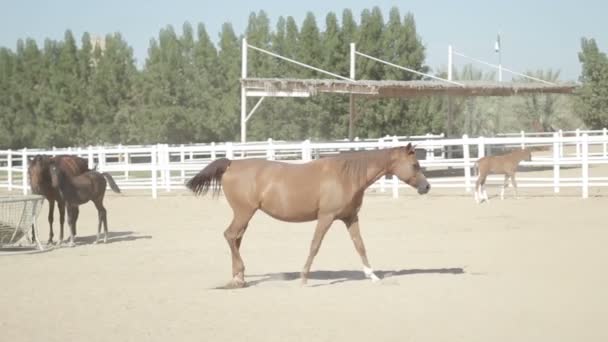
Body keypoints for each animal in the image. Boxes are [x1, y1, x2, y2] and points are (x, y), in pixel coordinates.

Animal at [188, 142, 430, 288]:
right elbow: (315, 245)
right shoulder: (326, 217)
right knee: (230, 236)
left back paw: (238, 278)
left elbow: (360, 245)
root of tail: (232, 164)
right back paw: (239, 276)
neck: (346, 176)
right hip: (244, 212)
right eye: (414, 164)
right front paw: (304, 278)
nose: (426, 187)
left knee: (236, 239)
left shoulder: (350, 218)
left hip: (245, 215)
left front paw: (372, 275)